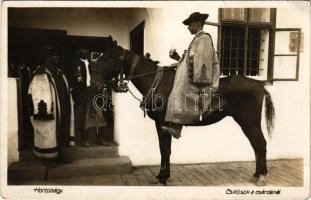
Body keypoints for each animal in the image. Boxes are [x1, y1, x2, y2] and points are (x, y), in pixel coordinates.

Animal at [90, 36, 276, 186]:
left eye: (106, 57)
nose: (94, 83)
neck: (157, 83)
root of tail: (260, 85)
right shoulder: (163, 125)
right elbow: (164, 149)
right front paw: (162, 175)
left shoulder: (162, 123)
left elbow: (165, 150)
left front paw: (163, 178)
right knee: (256, 145)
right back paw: (257, 174)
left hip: (249, 122)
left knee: (260, 144)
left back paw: (261, 176)